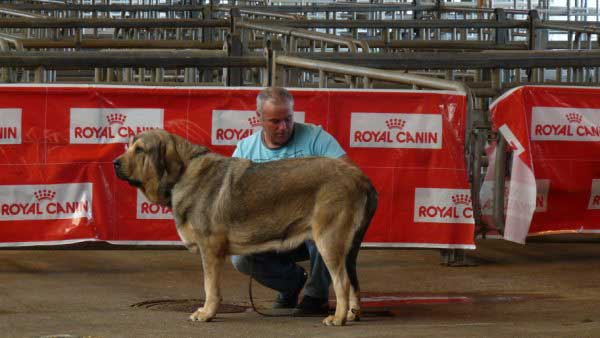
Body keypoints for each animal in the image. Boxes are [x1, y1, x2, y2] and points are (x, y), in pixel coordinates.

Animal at [113, 129, 378, 324]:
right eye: (129, 146)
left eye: (140, 149)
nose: (115, 163)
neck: (183, 173)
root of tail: (359, 177)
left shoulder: (210, 249)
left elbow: (210, 286)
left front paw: (206, 313)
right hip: (346, 247)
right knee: (352, 281)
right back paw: (352, 314)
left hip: (327, 240)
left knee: (342, 282)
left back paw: (338, 318)